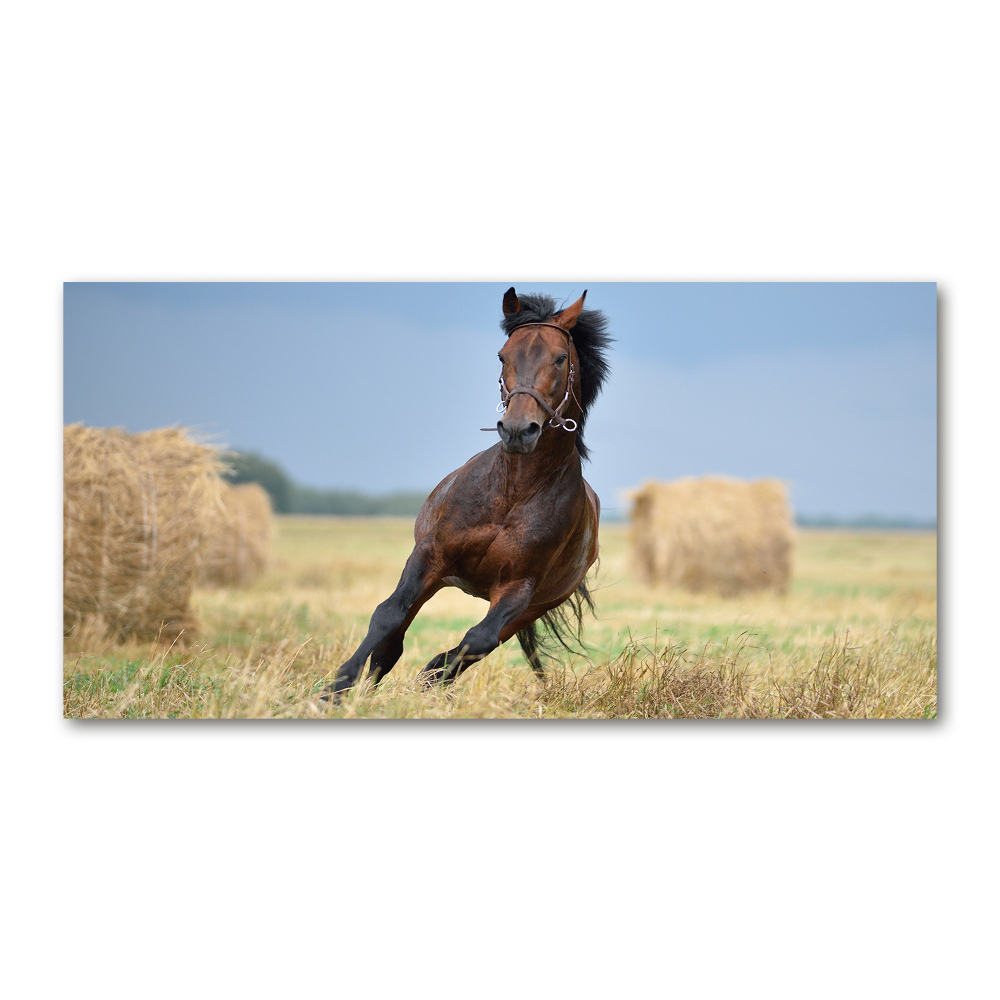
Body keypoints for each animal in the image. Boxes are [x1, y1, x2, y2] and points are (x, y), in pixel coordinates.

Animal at [324, 286, 612, 700]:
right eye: (503, 355)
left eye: (560, 358)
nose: (518, 430)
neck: (513, 491)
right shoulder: (430, 556)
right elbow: (387, 615)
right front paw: (336, 689)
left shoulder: (518, 588)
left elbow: (475, 641)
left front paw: (423, 683)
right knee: (394, 640)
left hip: (533, 606)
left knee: (471, 647)